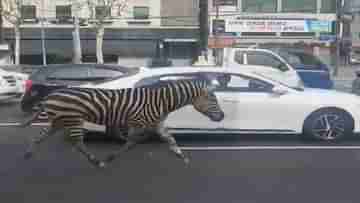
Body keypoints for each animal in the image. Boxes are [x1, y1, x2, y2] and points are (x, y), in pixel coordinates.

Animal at [21, 77, 225, 168]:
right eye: (213, 99)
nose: (222, 116)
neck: (161, 101)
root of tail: (52, 94)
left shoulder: (157, 124)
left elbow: (171, 140)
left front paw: (182, 157)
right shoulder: (139, 123)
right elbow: (131, 143)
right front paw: (110, 157)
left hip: (59, 120)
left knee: (41, 137)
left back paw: (28, 154)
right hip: (72, 119)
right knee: (77, 143)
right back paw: (97, 162)